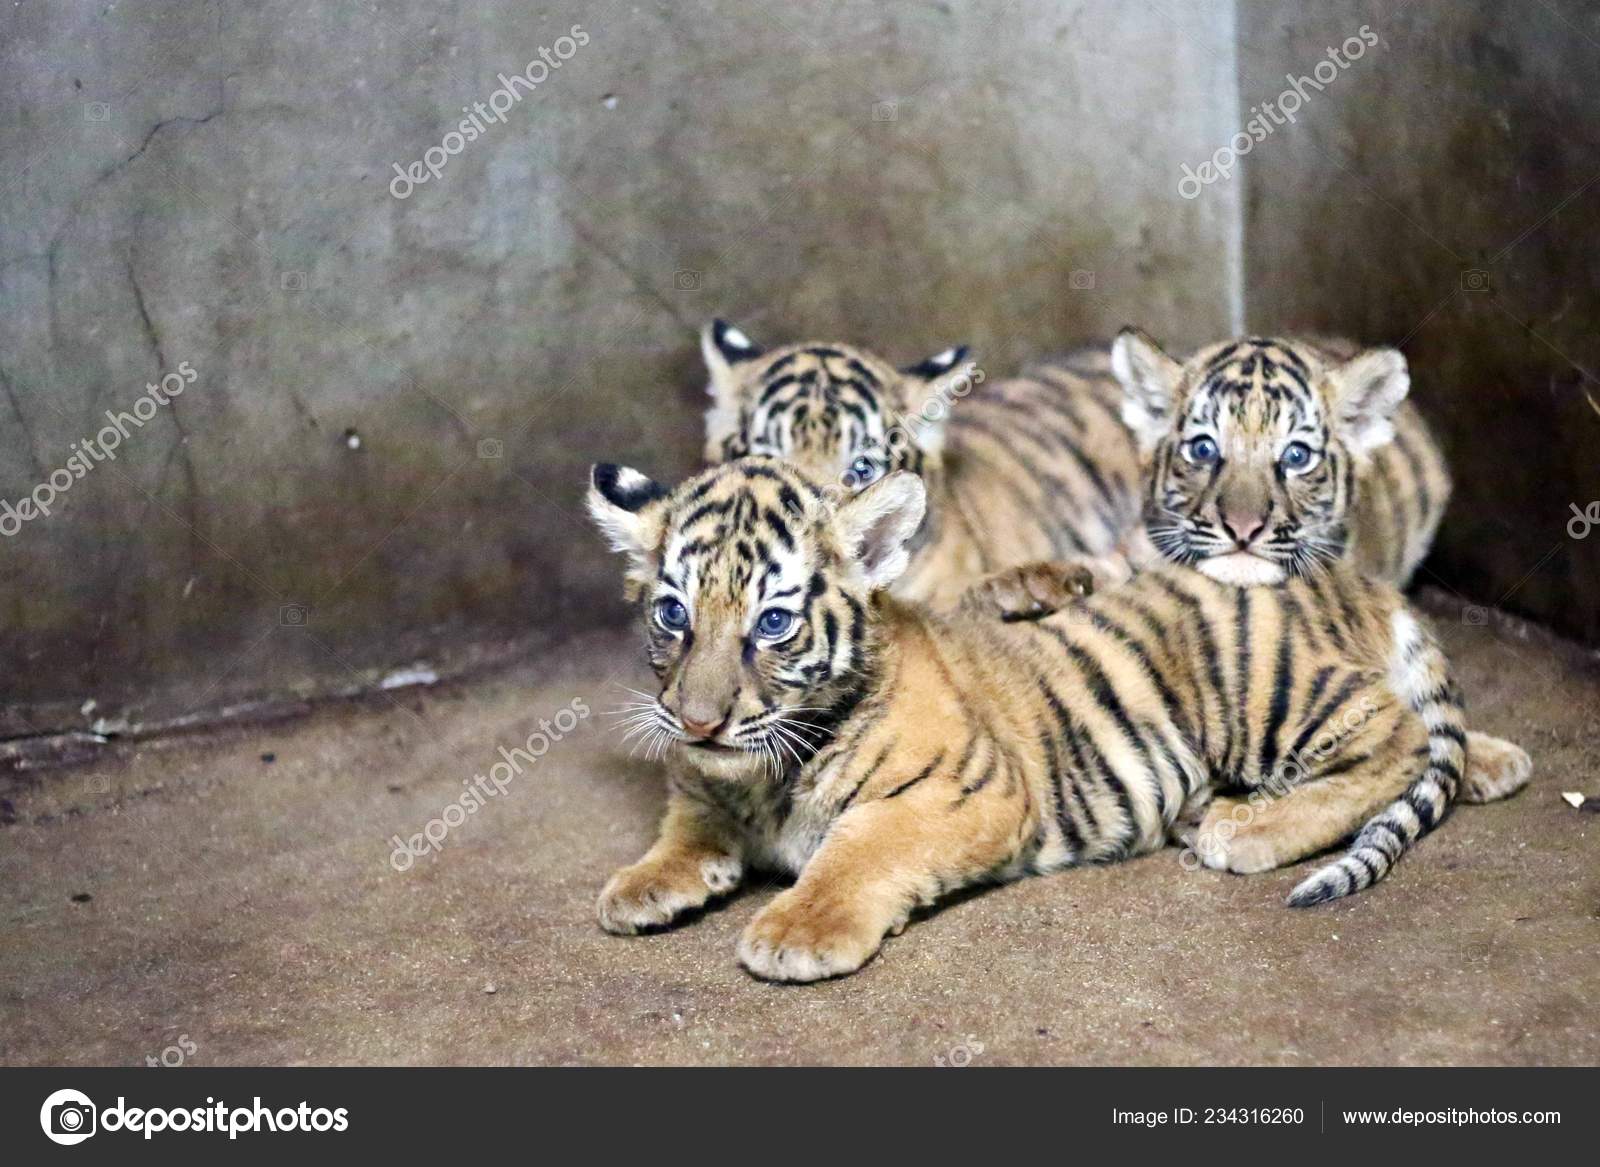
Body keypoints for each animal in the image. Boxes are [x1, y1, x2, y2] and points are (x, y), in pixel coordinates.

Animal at [589, 456, 1470, 982]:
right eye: (673, 613)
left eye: (772, 622)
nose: (698, 722)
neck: (769, 774)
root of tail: (1348, 576)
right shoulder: (704, 785)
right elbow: (685, 826)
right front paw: (642, 884)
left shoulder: (967, 790)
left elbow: (859, 847)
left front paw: (799, 929)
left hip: (1262, 691)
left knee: (1397, 734)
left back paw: (1243, 828)